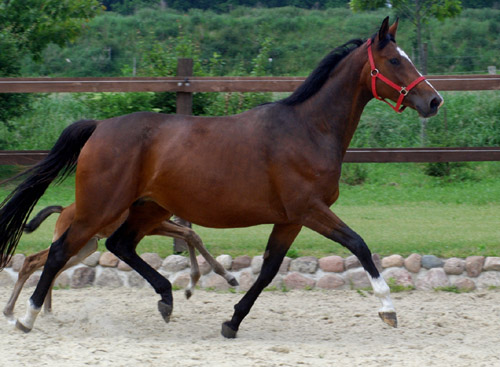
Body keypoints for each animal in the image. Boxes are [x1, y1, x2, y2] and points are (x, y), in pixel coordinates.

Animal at [1, 204, 237, 322]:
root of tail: (65, 210)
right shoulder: (155, 225)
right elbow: (190, 234)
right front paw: (224, 276)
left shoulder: (159, 225)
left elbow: (190, 235)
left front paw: (196, 283)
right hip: (77, 245)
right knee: (33, 261)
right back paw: (11, 310)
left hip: (86, 247)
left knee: (52, 267)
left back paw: (47, 312)